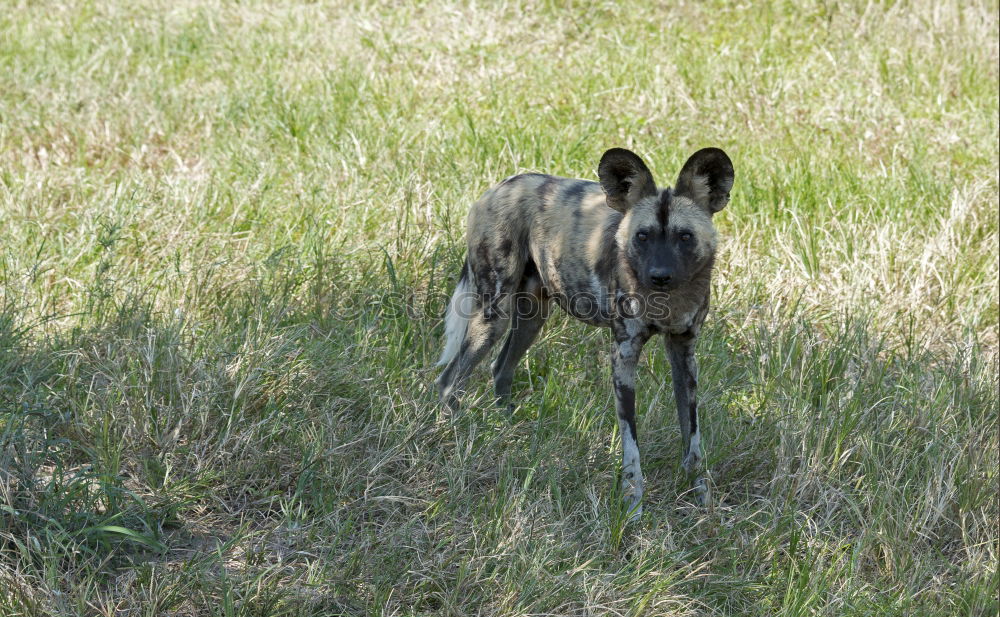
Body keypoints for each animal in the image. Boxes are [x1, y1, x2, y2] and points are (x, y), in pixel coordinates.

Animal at [438, 147, 736, 512]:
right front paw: (633, 505)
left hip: (532, 317)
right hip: (493, 317)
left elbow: (692, 436)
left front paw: (701, 498)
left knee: (499, 369)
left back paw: (508, 430)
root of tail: (496, 189)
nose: (659, 276)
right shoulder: (623, 356)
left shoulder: (684, 353)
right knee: (449, 381)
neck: (668, 303)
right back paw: (457, 437)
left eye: (685, 237)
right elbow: (631, 445)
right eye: (642, 236)